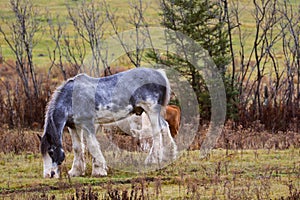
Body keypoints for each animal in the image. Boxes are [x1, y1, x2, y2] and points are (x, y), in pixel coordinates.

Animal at [39, 67, 176, 178]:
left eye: (51, 152)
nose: (49, 175)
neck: (71, 97)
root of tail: (159, 73)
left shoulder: (88, 124)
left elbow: (92, 146)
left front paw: (99, 170)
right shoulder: (73, 127)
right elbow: (77, 148)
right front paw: (76, 171)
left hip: (151, 110)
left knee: (157, 132)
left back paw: (153, 160)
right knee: (164, 126)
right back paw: (168, 156)